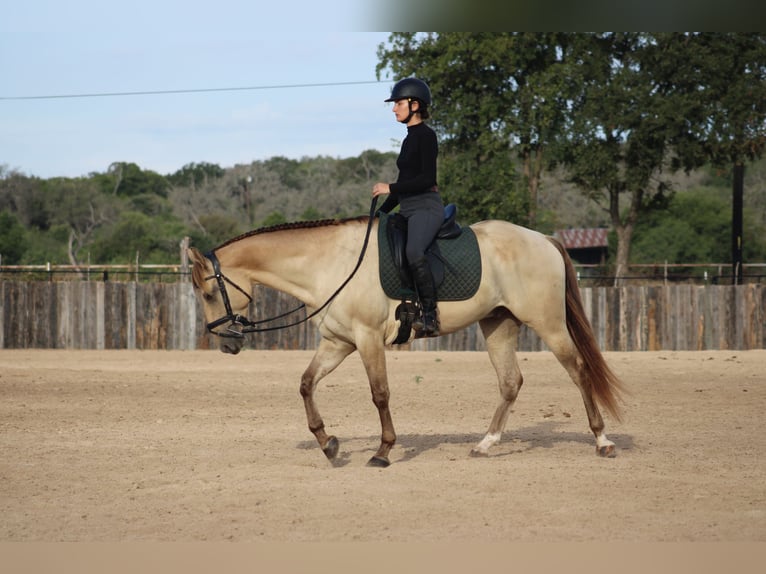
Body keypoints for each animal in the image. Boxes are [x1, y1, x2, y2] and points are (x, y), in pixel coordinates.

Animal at [188, 214, 625, 467]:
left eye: (208, 294)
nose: (227, 344)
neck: (330, 264)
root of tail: (542, 239)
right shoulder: (338, 342)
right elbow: (306, 384)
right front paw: (329, 445)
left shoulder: (366, 340)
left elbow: (380, 394)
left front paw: (383, 451)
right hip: (499, 324)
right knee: (510, 382)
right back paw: (485, 445)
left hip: (548, 323)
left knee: (579, 371)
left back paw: (603, 441)